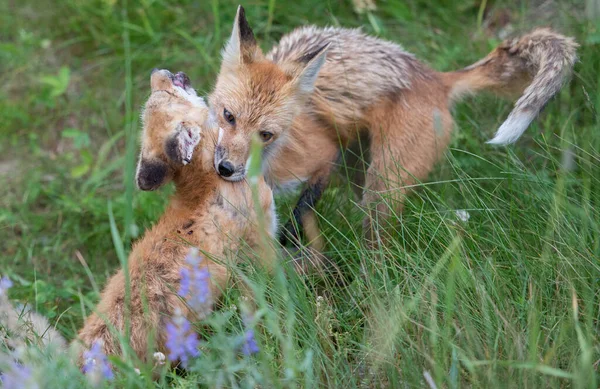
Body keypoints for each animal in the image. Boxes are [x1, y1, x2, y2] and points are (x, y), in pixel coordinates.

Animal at [210, 6, 576, 246]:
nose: (225, 169)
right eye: (228, 116)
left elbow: (302, 209)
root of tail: (436, 78)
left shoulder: (323, 157)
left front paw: (288, 243)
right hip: (360, 171)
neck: (267, 165)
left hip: (382, 185)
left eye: (266, 135)